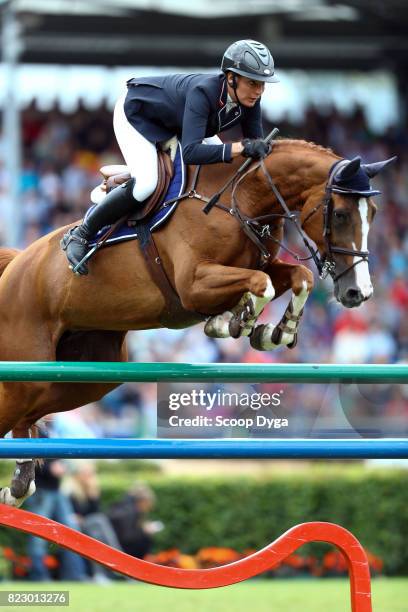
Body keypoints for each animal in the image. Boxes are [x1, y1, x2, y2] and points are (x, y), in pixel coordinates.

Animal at [0, 140, 394, 506]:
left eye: (374, 212)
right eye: (340, 214)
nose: (359, 292)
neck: (242, 201)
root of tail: (17, 264)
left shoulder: (262, 266)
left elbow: (299, 277)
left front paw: (274, 331)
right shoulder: (194, 285)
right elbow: (261, 284)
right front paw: (234, 322)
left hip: (84, 375)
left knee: (32, 412)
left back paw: (19, 484)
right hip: (26, 369)